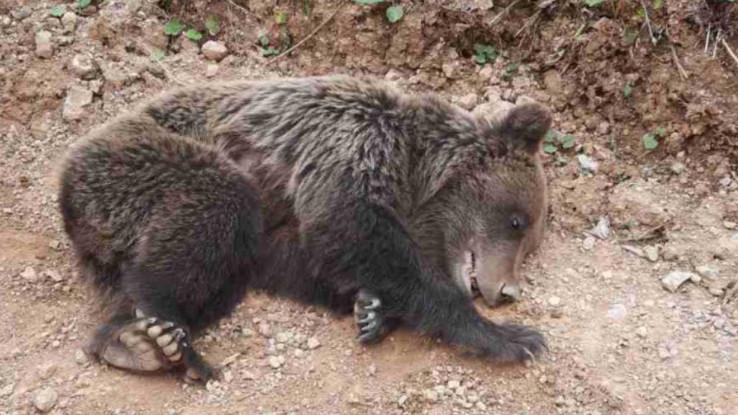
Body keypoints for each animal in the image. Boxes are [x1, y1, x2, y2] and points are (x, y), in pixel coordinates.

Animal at [60, 75, 548, 384]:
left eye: (530, 242)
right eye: (517, 221)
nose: (508, 291)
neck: (411, 166)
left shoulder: (283, 226)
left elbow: (305, 261)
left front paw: (372, 311)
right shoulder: (347, 149)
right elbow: (351, 234)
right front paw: (512, 337)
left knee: (217, 277)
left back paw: (137, 342)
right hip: (138, 163)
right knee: (214, 204)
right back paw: (161, 338)